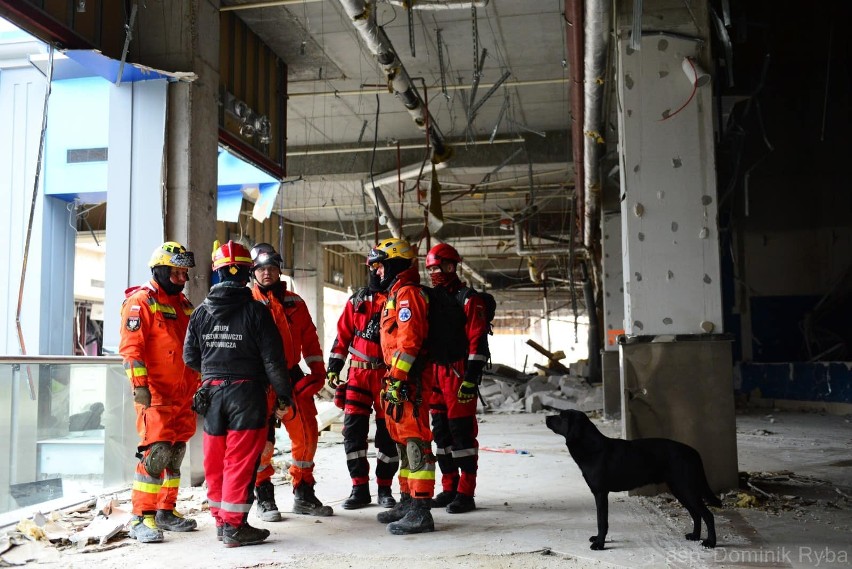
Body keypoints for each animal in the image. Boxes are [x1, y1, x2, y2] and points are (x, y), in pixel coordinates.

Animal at [544, 410, 720, 548]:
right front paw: (598, 539)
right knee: (696, 514)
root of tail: (693, 452)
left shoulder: (601, 493)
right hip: (680, 490)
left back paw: (710, 542)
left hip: (686, 489)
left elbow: (602, 521)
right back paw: (695, 536)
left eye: (561, 416)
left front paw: (599, 543)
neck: (592, 448)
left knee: (707, 515)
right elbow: (601, 520)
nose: (546, 417)